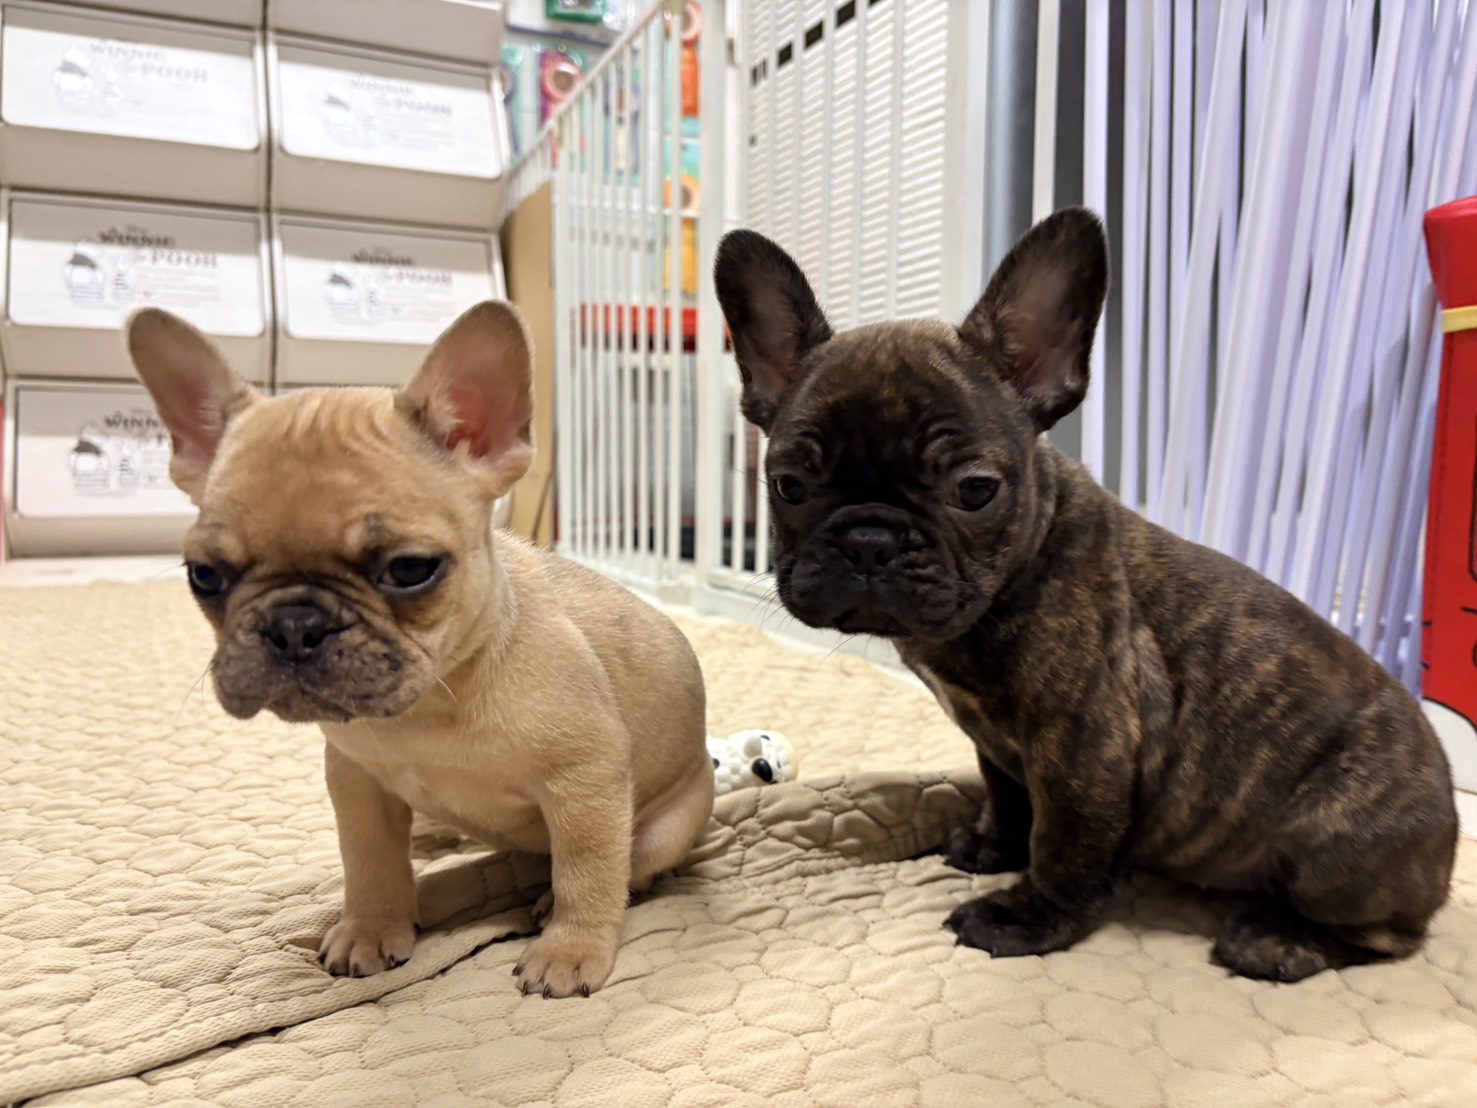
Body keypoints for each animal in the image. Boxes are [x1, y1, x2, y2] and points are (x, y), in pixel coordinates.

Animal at [125, 301, 714, 997]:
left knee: (627, 866)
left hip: (666, 827)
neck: (433, 698)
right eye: (204, 576)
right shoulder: (355, 783)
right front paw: (371, 928)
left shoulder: (585, 779)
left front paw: (569, 950)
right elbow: (371, 863)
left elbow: (588, 871)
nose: (295, 625)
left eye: (410, 569)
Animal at [713, 208, 1459, 981]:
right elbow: (1010, 800)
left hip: (1334, 858)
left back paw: (1278, 939)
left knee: (1388, 937)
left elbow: (1064, 843)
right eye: (788, 486)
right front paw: (991, 848)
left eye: (974, 491)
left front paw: (1026, 915)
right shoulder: (998, 745)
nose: (869, 539)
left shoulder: (1084, 745)